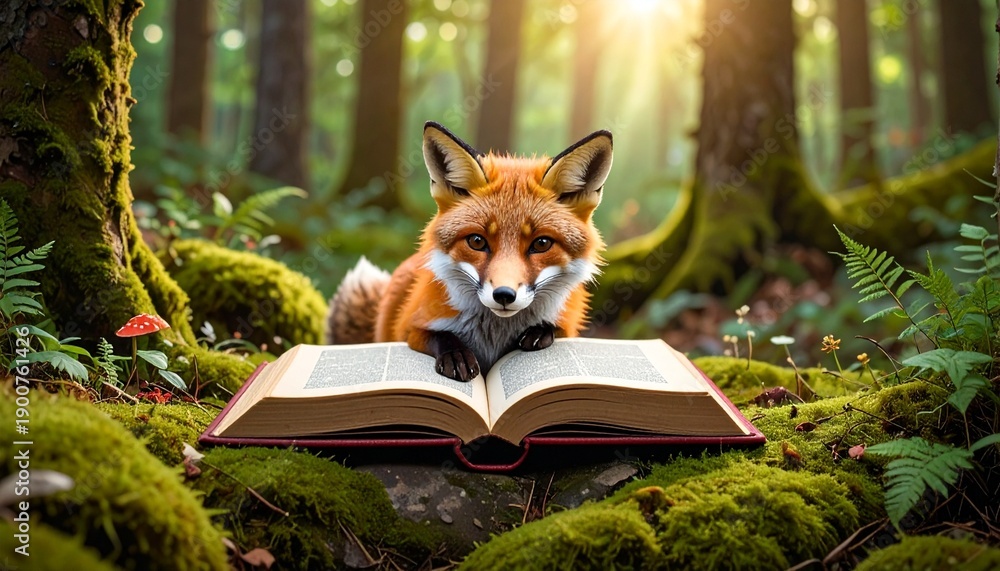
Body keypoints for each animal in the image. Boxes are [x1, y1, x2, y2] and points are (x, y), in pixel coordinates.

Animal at [326, 121, 613, 381]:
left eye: (541, 244)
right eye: (476, 241)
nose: (504, 295)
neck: (494, 335)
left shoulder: (568, 327)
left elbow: (552, 329)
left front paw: (539, 332)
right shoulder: (409, 327)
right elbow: (440, 335)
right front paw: (457, 356)